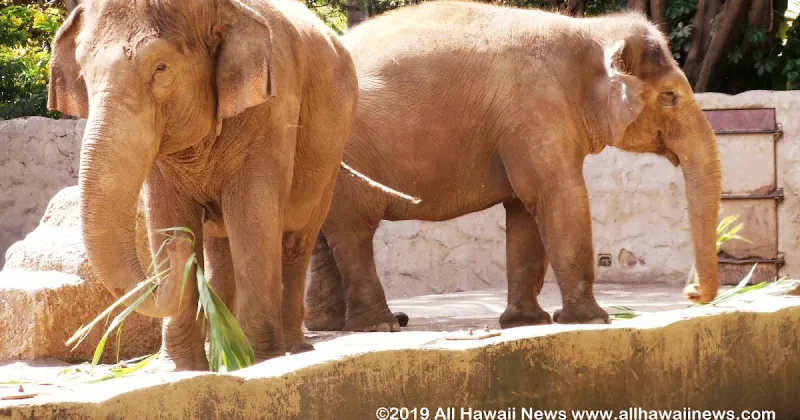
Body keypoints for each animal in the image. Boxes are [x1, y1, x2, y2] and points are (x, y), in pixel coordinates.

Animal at [47, 0, 407, 370]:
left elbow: (252, 219)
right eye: (83, 73)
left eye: (161, 67)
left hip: (333, 153)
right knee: (221, 247)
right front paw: (182, 368)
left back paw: (293, 349)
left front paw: (257, 361)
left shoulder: (271, 110)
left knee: (297, 240)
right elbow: (165, 215)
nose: (180, 247)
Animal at [303, 2, 723, 333]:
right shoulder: (536, 110)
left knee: (325, 234)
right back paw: (381, 326)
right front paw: (593, 320)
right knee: (354, 232)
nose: (691, 293)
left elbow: (525, 211)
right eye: (670, 96)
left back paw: (332, 325)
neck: (590, 31)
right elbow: (558, 198)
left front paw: (526, 323)